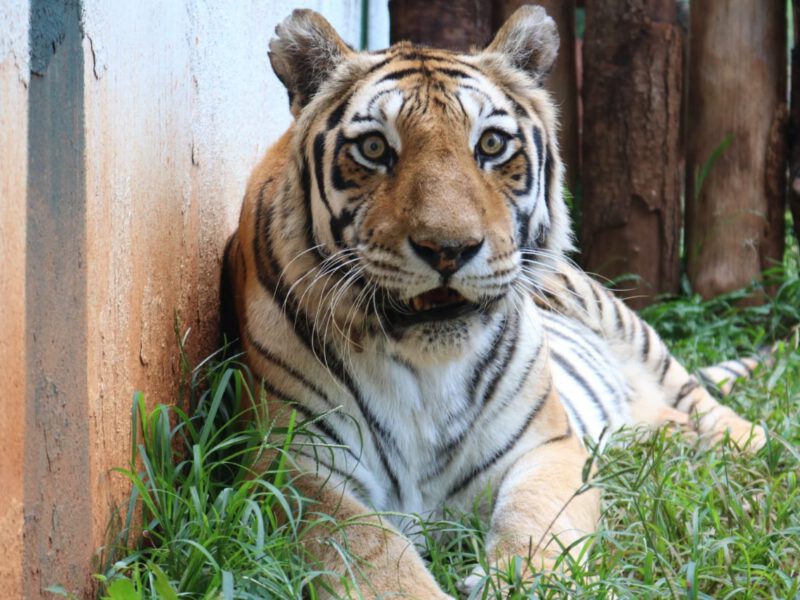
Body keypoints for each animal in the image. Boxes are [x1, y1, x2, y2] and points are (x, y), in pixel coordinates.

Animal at [220, 7, 768, 596]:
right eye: (373, 149)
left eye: (490, 145)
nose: (449, 249)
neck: (427, 370)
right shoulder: (294, 469)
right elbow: (370, 555)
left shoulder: (545, 445)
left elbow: (535, 526)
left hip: (617, 318)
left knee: (700, 399)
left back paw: (747, 442)